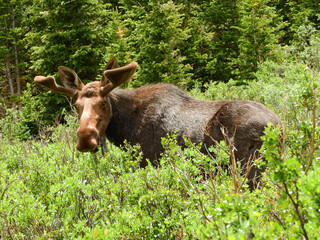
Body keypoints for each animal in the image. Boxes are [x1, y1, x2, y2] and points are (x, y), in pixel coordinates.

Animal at [33, 57, 282, 188]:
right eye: (76, 105)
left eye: (103, 102)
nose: (86, 138)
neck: (124, 126)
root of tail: (280, 127)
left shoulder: (148, 161)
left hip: (249, 167)